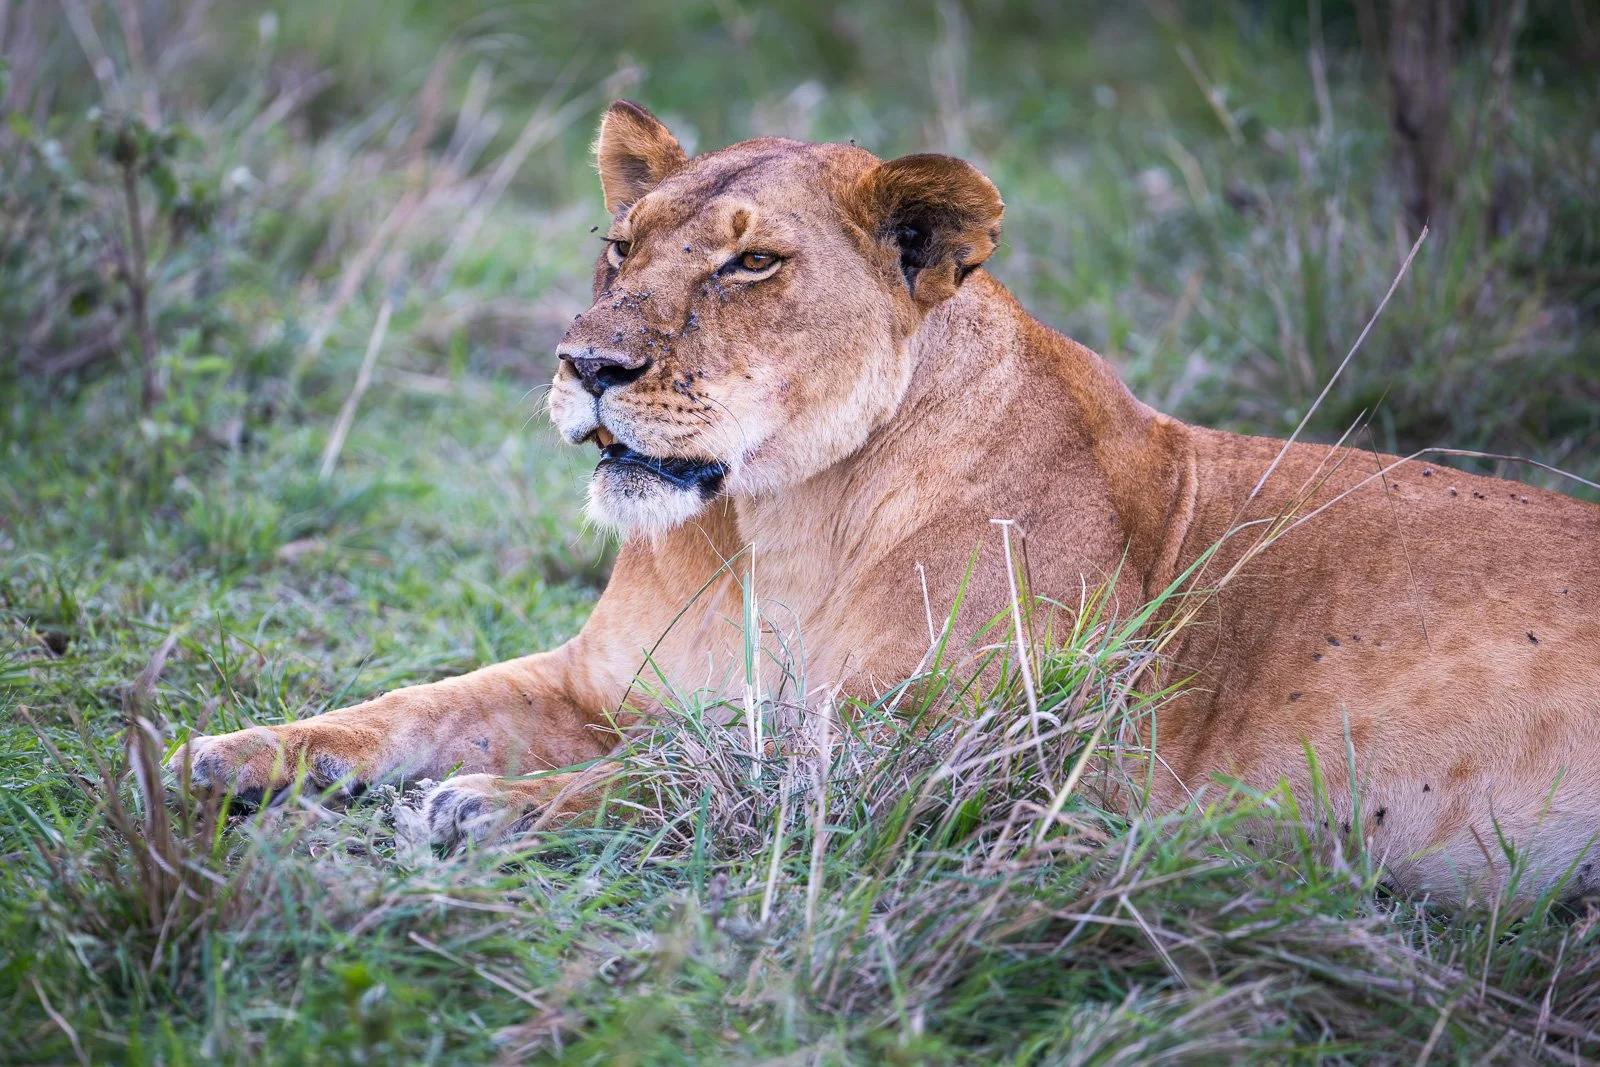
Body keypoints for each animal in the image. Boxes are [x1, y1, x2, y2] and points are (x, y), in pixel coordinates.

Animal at [172, 101, 1600, 901]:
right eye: (618, 247)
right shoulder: (587, 681)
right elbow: (411, 705)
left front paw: (496, 805)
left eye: (750, 263)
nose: (587, 366)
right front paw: (224, 754)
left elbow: (720, 776)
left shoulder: (995, 769)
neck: (779, 528)